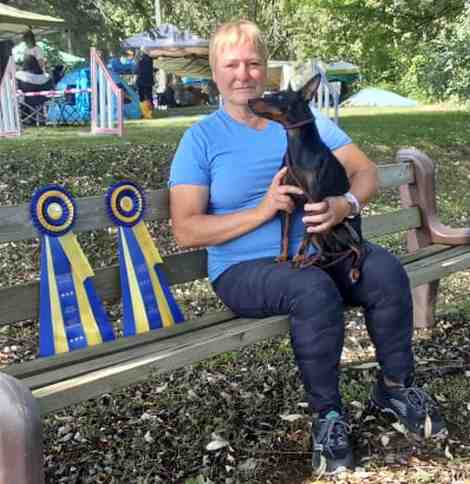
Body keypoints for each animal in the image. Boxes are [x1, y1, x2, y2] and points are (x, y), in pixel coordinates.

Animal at [248, 74, 364, 282]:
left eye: (279, 97)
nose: (248, 101)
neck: (298, 147)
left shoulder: (314, 203)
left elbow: (305, 233)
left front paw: (298, 257)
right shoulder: (286, 201)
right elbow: (285, 234)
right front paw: (283, 256)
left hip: (339, 229)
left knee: (358, 248)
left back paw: (354, 270)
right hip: (323, 236)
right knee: (326, 252)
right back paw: (316, 261)